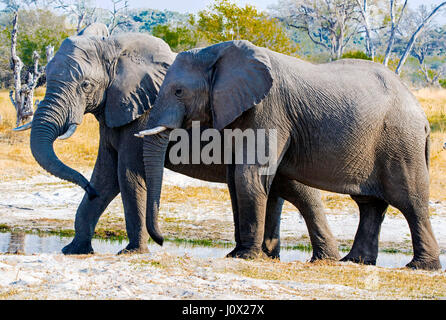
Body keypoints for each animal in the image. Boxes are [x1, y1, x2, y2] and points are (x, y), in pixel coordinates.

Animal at [25, 25, 338, 260]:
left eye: (85, 86)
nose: (85, 189)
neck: (116, 48)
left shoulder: (141, 114)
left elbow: (127, 175)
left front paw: (131, 253)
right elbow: (105, 176)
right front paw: (73, 250)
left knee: (296, 189)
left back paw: (320, 258)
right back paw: (282, 256)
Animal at [141, 39, 440, 270]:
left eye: (179, 91)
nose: (162, 241)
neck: (218, 52)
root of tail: (421, 113)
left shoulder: (268, 109)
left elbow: (248, 175)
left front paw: (244, 256)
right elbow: (236, 176)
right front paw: (238, 253)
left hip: (402, 142)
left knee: (410, 199)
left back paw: (420, 266)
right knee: (369, 204)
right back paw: (353, 261)